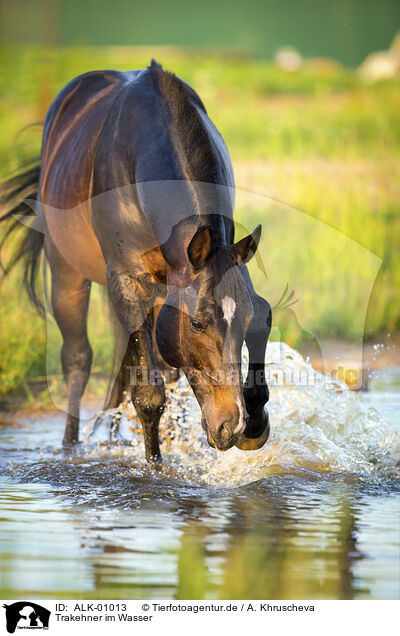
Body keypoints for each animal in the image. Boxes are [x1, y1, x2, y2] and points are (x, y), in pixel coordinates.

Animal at [0, 60, 272, 462]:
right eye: (196, 323)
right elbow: (148, 394)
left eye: (246, 320)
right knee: (78, 360)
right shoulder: (127, 281)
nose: (232, 425)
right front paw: (155, 467)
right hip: (68, 274)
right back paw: (71, 445)